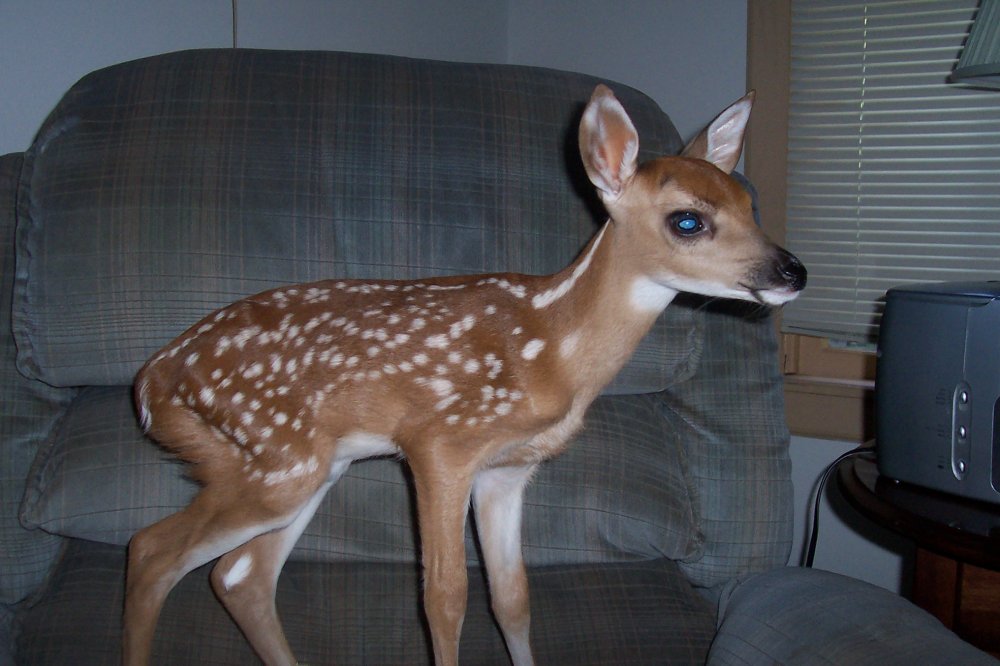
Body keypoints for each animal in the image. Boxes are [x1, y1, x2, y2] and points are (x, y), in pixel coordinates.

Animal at [123, 84, 806, 666]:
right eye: (687, 220)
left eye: (750, 205)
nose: (792, 271)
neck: (553, 348)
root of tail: (153, 383)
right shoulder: (439, 442)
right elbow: (444, 599)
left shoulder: (508, 469)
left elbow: (513, 600)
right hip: (275, 460)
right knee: (153, 551)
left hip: (306, 465)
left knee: (239, 576)